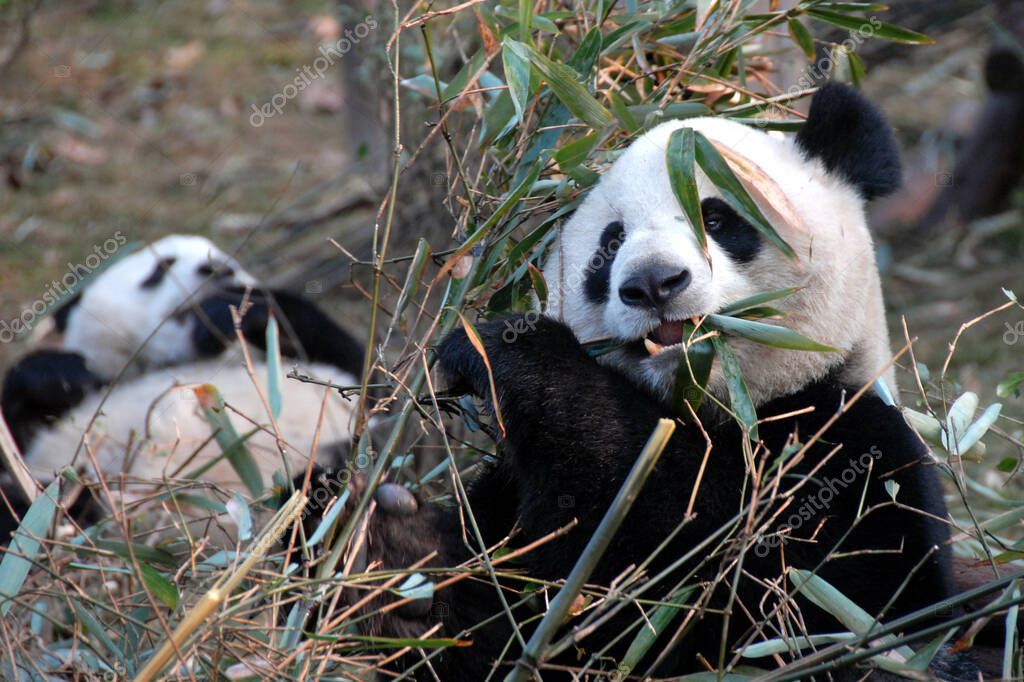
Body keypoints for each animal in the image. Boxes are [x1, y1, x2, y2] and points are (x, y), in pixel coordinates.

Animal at [0, 235, 365, 541]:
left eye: (229, 260)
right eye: (160, 268)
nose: (217, 267)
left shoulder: (330, 376)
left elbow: (350, 366)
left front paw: (232, 312)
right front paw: (65, 375)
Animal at [303, 83, 980, 681]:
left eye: (718, 217)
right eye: (610, 245)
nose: (654, 283)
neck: (717, 409)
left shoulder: (852, 450)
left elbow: (808, 610)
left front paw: (508, 352)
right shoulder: (506, 502)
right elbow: (510, 623)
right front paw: (389, 550)